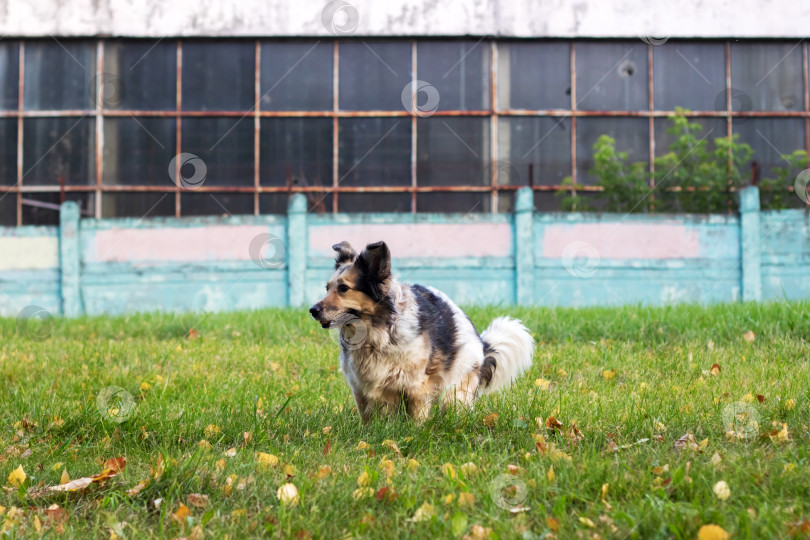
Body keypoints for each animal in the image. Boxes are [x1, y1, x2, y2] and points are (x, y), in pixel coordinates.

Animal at [306, 239, 532, 422]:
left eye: (343, 288)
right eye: (327, 288)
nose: (313, 310)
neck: (376, 333)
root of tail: (482, 345)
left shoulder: (416, 386)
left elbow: (416, 418)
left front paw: (413, 433)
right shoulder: (361, 388)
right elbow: (368, 418)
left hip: (455, 387)